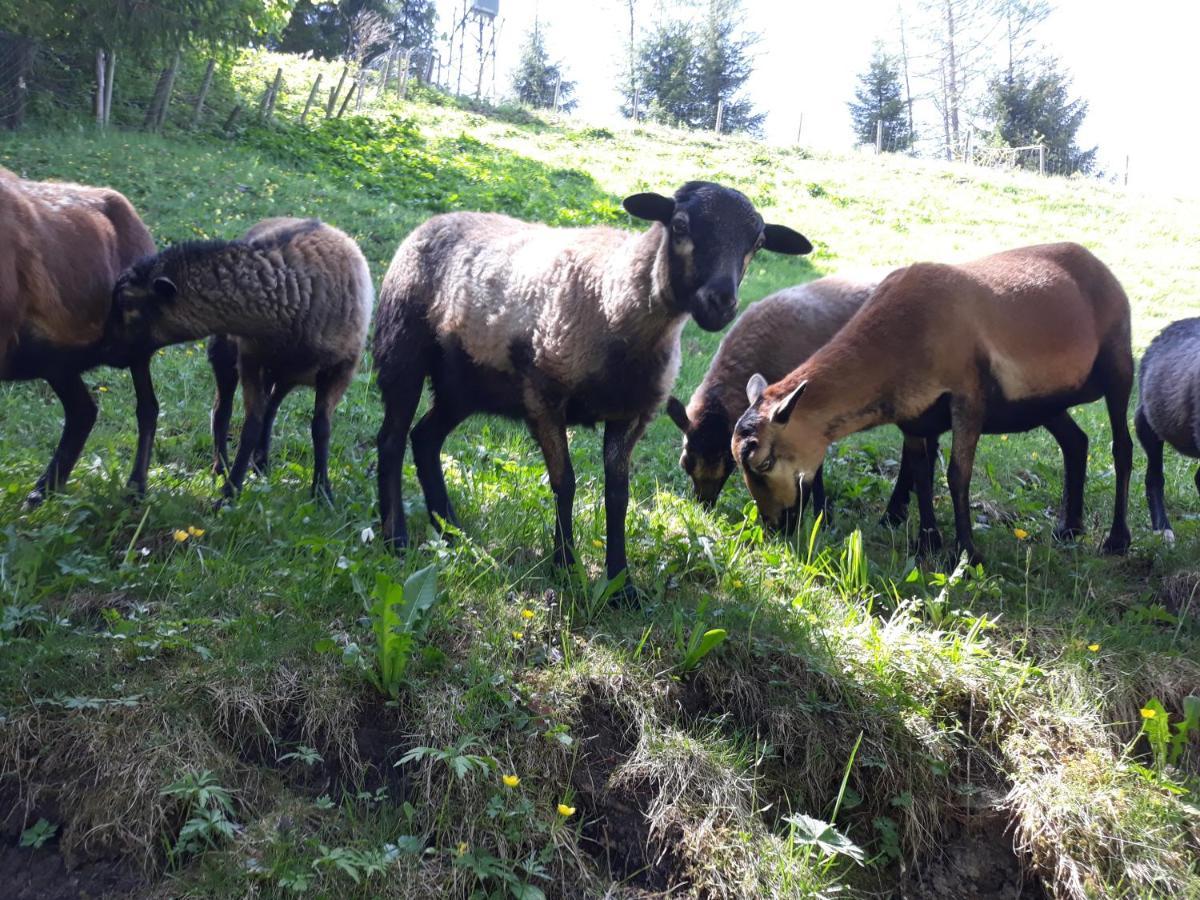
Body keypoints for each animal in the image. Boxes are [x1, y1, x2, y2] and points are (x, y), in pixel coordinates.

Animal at [0, 168, 157, 508]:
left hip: (136, 346)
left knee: (146, 408)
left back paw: (135, 489)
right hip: (57, 361)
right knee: (83, 411)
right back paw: (42, 491)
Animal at [108, 216, 372, 504]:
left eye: (129, 306)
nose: (111, 354)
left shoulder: (342, 368)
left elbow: (321, 428)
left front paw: (322, 491)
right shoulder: (250, 358)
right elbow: (250, 426)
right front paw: (230, 491)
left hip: (287, 373)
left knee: (271, 407)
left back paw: (261, 463)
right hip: (228, 355)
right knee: (222, 410)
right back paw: (221, 467)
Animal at [369, 181, 811, 600]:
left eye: (757, 243)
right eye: (681, 225)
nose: (720, 303)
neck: (612, 296)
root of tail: (435, 221)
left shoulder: (632, 415)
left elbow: (618, 496)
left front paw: (621, 584)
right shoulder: (544, 397)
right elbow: (565, 483)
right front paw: (565, 566)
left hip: (464, 384)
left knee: (425, 438)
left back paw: (451, 530)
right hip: (402, 348)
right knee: (392, 439)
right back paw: (397, 537)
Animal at [729, 241, 1132, 564]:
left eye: (764, 462)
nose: (774, 526)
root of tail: (1097, 263)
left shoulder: (967, 397)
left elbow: (957, 474)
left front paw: (966, 553)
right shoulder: (915, 415)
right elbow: (922, 475)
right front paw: (926, 543)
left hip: (1118, 365)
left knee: (1122, 448)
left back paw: (1116, 540)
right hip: (1045, 402)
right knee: (1076, 442)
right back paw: (1070, 529)